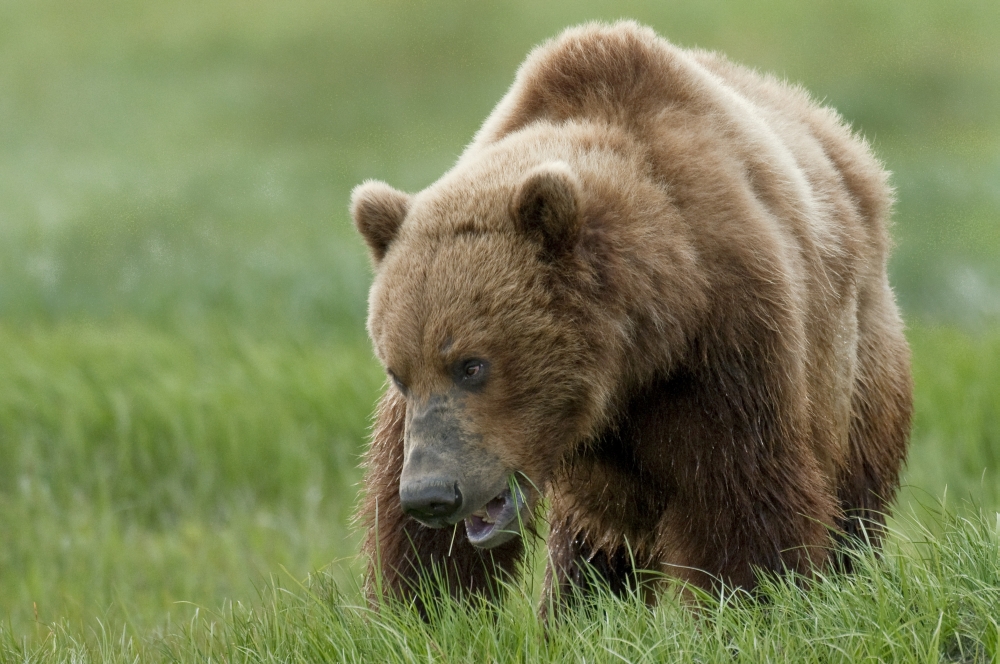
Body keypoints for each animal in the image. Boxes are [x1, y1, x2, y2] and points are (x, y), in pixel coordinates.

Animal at [352, 20, 916, 608]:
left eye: (473, 365)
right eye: (398, 372)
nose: (432, 494)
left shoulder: (725, 344)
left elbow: (741, 501)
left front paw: (754, 600)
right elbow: (420, 546)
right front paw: (425, 602)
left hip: (855, 367)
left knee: (852, 502)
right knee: (591, 550)